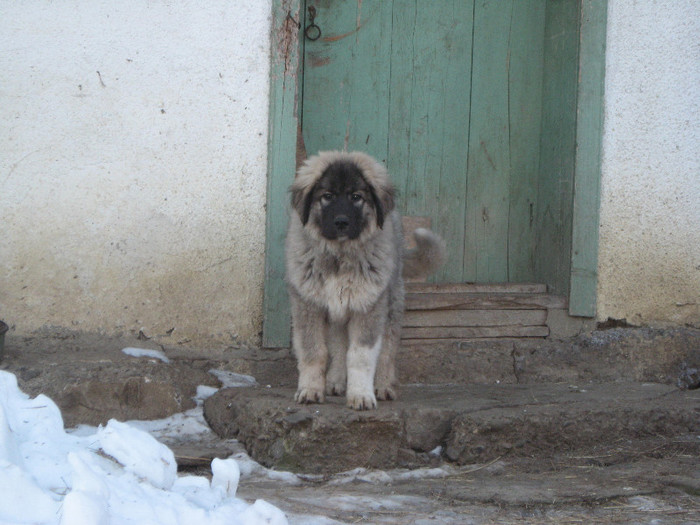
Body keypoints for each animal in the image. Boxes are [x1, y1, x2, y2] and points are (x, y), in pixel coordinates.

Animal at [286, 151, 446, 410]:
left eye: (356, 197)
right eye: (327, 196)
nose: (341, 222)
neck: (340, 256)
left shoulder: (367, 306)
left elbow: (361, 356)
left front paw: (361, 394)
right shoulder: (309, 305)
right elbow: (314, 352)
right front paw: (310, 390)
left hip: (391, 301)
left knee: (388, 346)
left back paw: (383, 385)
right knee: (339, 344)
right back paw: (335, 381)